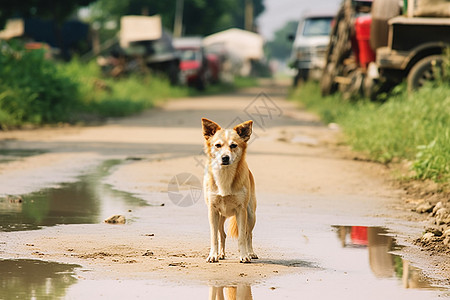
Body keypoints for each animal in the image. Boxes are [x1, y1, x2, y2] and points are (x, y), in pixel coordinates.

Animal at [200, 118, 256, 264]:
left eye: (234, 145)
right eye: (217, 145)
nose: (225, 158)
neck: (224, 175)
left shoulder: (241, 210)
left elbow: (242, 236)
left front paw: (244, 256)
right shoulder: (212, 211)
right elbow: (214, 237)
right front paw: (213, 255)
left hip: (251, 215)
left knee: (249, 234)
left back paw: (251, 253)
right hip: (220, 217)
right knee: (222, 234)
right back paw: (221, 254)